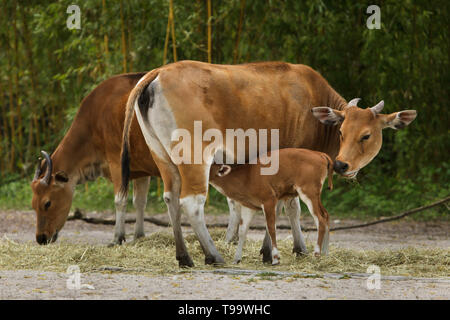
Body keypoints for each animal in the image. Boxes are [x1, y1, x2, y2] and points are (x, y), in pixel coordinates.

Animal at [121, 60, 416, 264]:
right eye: (343, 132)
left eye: (366, 135)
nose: (343, 165)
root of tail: (157, 73)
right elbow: (290, 206)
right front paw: (283, 250)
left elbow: (286, 206)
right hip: (194, 157)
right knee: (192, 202)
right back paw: (213, 255)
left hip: (162, 157)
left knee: (171, 199)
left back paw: (184, 257)